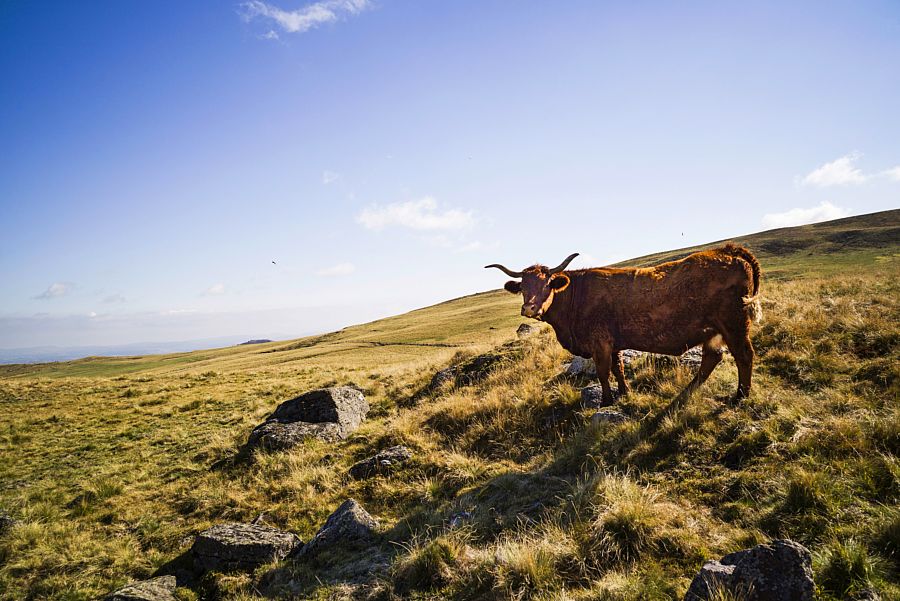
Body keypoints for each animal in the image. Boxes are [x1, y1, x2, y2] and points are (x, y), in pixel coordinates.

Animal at [488, 244, 764, 404]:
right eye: (523, 286)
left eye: (547, 284)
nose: (529, 308)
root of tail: (728, 251)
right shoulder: (614, 343)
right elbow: (618, 368)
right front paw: (624, 393)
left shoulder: (599, 343)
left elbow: (603, 372)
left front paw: (607, 401)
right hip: (714, 331)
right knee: (712, 358)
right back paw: (687, 392)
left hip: (734, 324)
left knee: (744, 354)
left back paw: (741, 395)